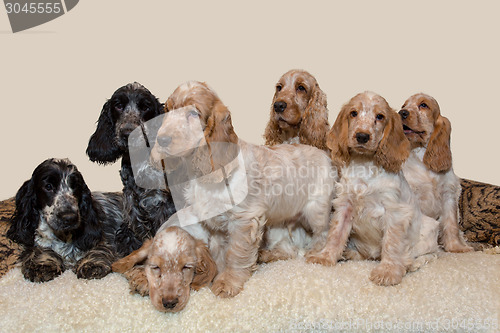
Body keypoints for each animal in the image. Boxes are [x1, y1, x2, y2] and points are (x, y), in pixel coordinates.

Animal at [87, 82, 177, 254]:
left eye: (145, 107)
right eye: (118, 105)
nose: (128, 133)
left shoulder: (163, 200)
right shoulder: (131, 197)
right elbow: (136, 229)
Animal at [398, 92, 472, 250]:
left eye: (423, 105)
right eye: (404, 105)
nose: (402, 112)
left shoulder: (448, 194)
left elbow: (451, 224)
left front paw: (456, 247)